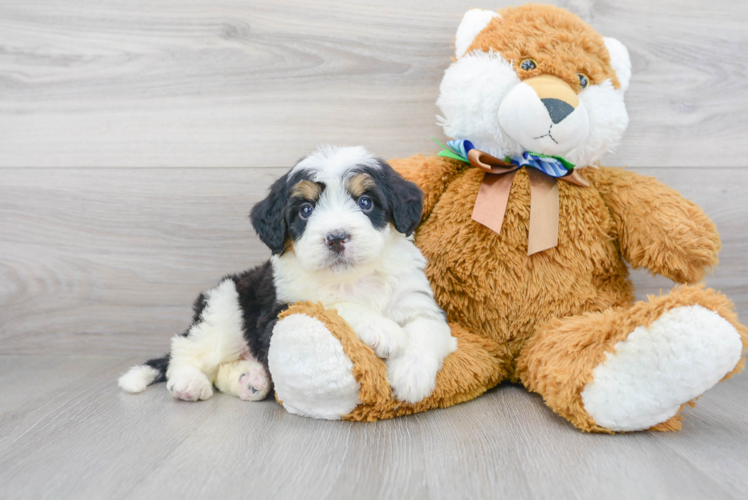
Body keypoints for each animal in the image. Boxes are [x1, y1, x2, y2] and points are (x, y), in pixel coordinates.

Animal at [118, 146, 456, 404]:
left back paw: (250, 380)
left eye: (365, 202)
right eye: (305, 210)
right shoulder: (280, 310)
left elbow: (427, 329)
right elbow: (332, 304)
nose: (336, 237)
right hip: (224, 311)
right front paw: (383, 330)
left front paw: (412, 376)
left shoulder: (417, 301)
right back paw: (189, 383)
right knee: (186, 350)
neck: (352, 278)